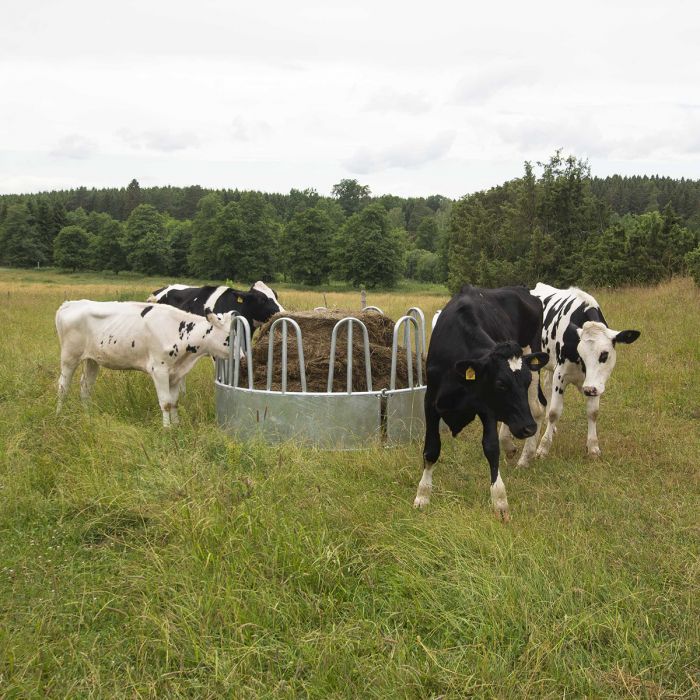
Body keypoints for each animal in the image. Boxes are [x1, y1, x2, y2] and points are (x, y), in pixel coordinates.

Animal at [55, 300, 235, 426]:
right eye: (229, 337)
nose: (240, 357)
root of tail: (71, 303)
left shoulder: (176, 373)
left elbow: (174, 402)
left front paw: (177, 426)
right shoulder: (159, 370)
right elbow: (165, 403)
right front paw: (167, 429)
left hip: (92, 359)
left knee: (85, 388)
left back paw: (88, 416)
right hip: (69, 356)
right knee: (63, 387)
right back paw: (58, 416)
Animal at [412, 284, 548, 520]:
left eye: (526, 380)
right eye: (501, 384)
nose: (528, 428)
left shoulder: (487, 408)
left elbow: (491, 448)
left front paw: (500, 502)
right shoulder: (430, 402)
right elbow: (431, 449)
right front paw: (422, 495)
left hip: (532, 353)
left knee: (538, 409)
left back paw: (525, 456)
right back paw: (512, 446)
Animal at [532, 284, 640, 460]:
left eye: (604, 354)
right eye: (581, 354)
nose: (589, 390)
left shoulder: (595, 383)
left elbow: (593, 412)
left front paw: (593, 447)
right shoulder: (560, 374)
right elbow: (555, 411)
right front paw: (543, 448)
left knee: (547, 387)